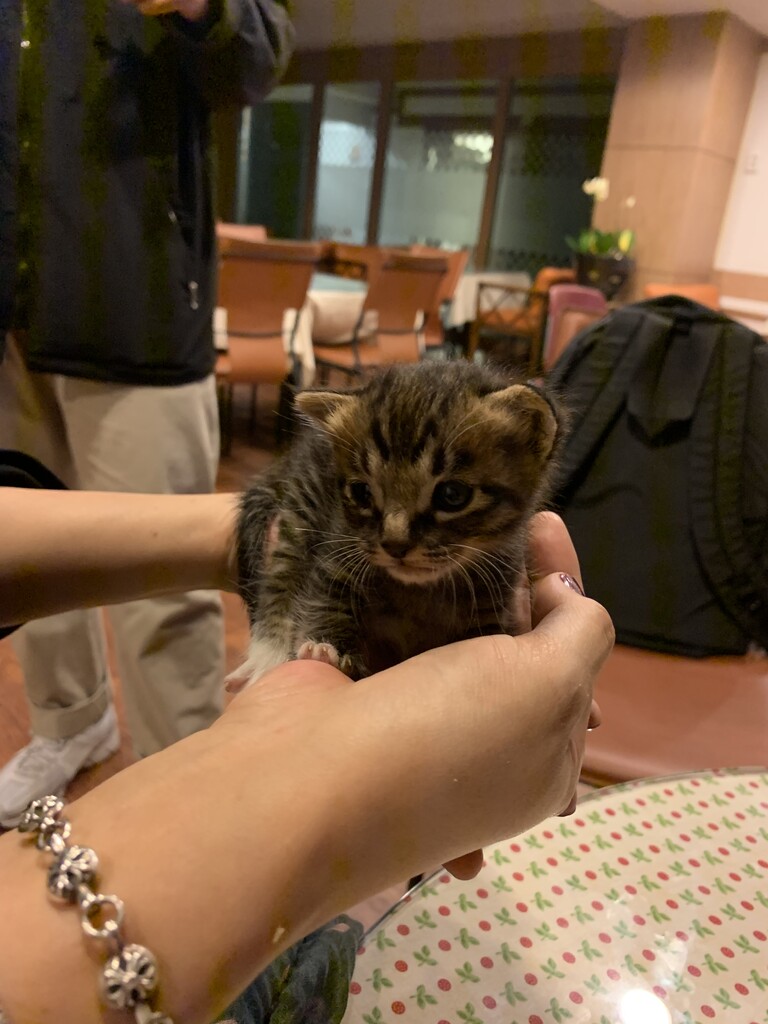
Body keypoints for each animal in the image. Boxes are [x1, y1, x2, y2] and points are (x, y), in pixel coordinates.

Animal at [229, 361, 562, 691]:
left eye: (452, 495)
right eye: (361, 492)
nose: (395, 544)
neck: (418, 591)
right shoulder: (340, 545)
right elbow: (325, 594)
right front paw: (328, 648)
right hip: (303, 505)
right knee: (283, 569)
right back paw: (267, 653)